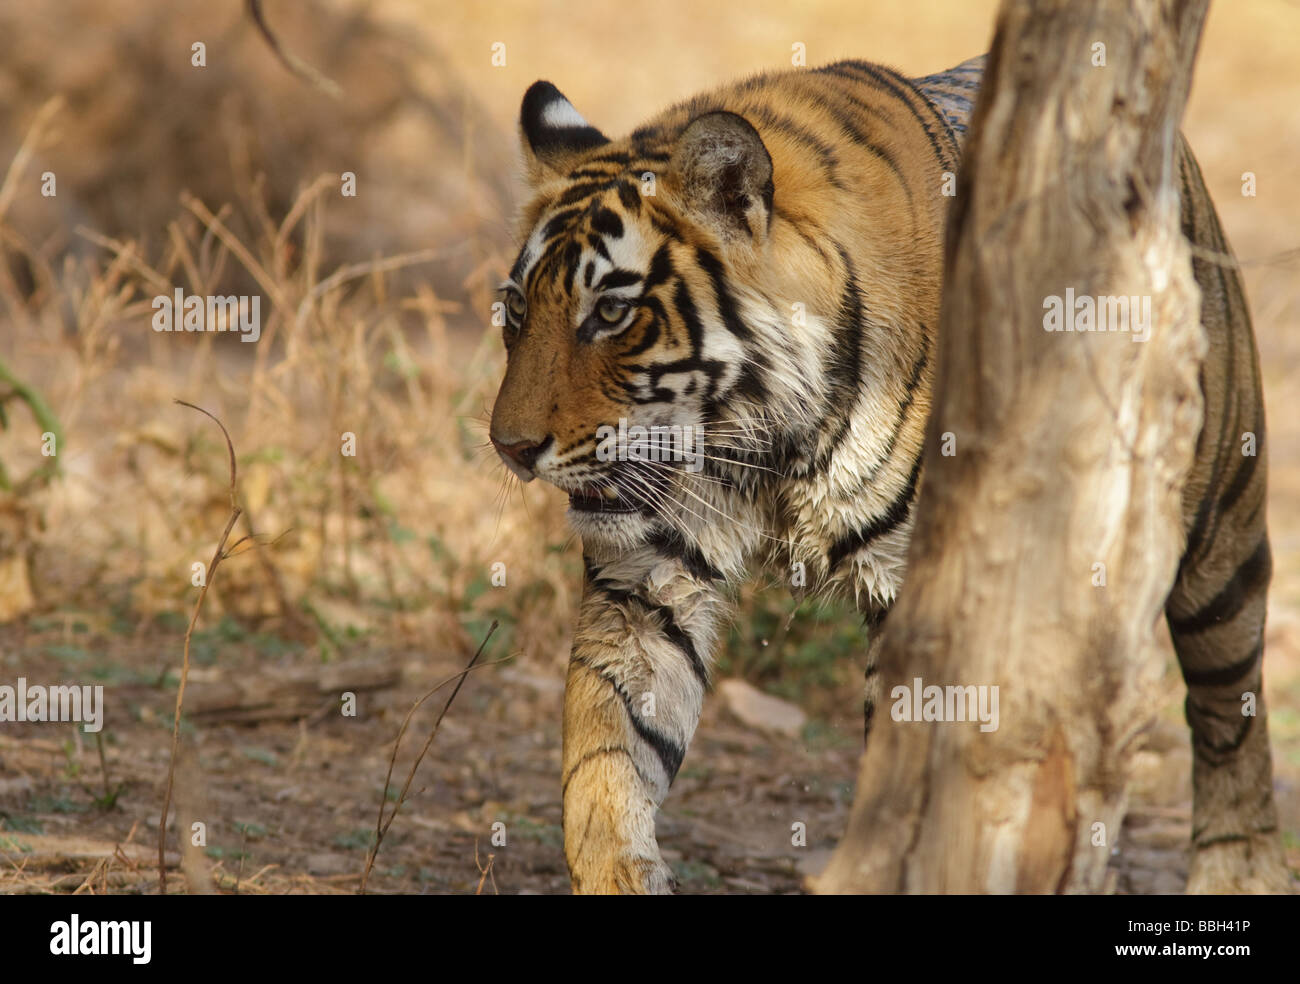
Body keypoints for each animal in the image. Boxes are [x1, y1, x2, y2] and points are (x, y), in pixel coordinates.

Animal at [488, 53, 1289, 894]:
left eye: (611, 314)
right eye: (517, 310)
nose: (510, 446)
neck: (764, 447)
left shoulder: (918, 592)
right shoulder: (646, 580)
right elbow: (606, 760)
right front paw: (618, 870)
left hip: (1219, 532)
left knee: (1230, 701)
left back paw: (1239, 868)